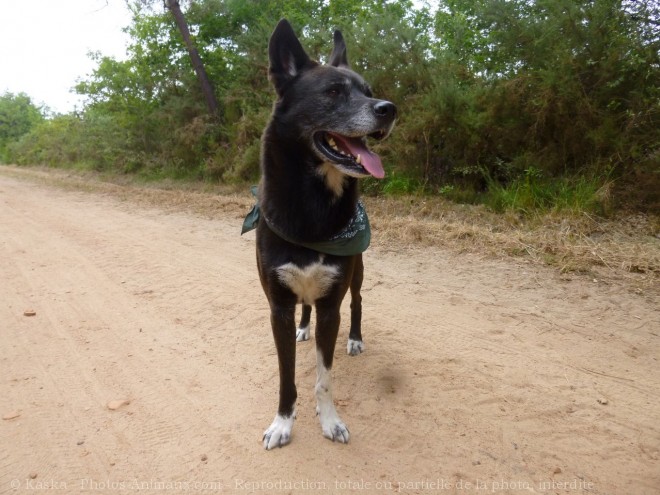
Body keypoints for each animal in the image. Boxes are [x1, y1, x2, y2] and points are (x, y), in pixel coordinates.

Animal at [251, 20, 398, 450]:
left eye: (368, 90)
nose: (389, 109)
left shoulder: (332, 305)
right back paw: (304, 328)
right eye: (333, 91)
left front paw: (330, 421)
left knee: (358, 302)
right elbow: (287, 378)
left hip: (357, 274)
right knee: (306, 308)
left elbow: (324, 379)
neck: (312, 208)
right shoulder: (278, 307)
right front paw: (282, 423)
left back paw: (356, 338)